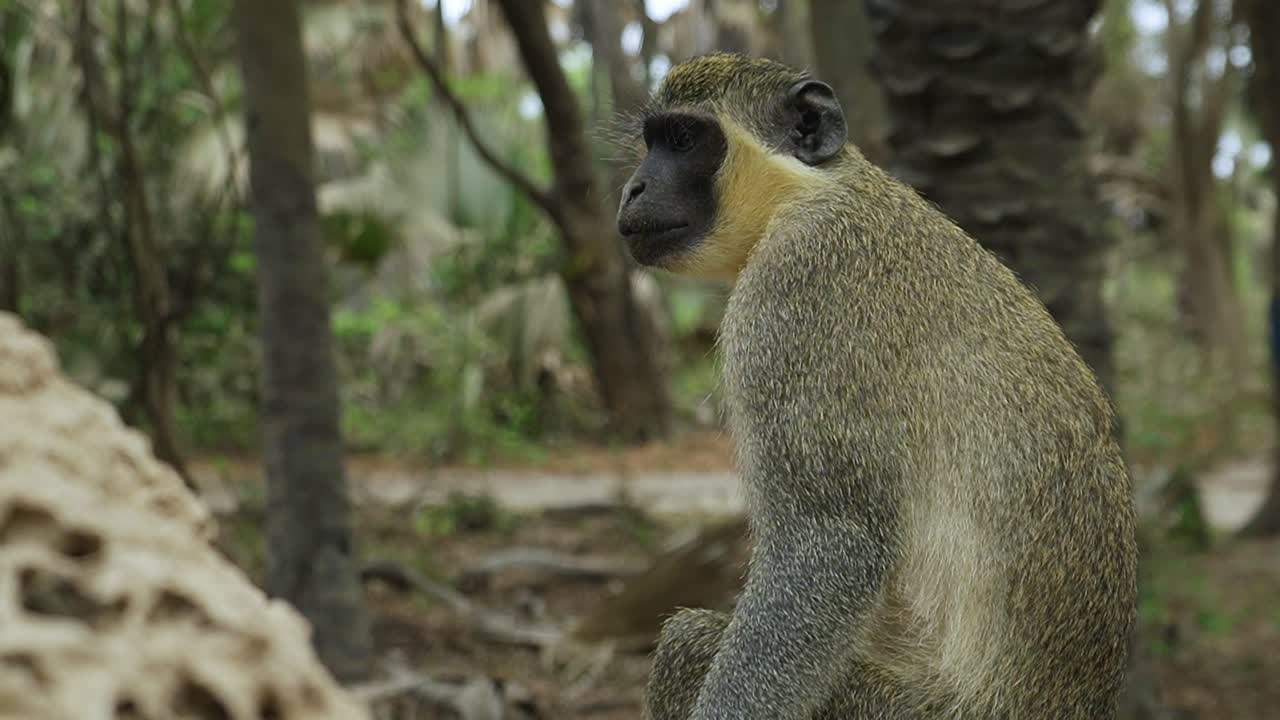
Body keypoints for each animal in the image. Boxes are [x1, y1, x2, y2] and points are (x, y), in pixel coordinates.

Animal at [615, 53, 1138, 720]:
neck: (810, 192)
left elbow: (829, 547)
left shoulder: (797, 292)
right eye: (652, 142)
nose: (632, 188)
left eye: (683, 139)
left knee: (687, 643)